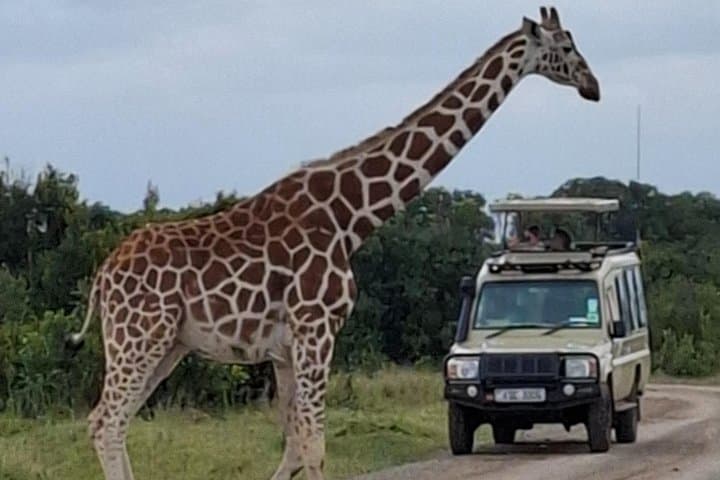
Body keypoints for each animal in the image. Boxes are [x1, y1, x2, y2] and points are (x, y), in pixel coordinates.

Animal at [66, 6, 599, 480]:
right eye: (565, 47)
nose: (592, 86)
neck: (350, 217)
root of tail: (103, 275)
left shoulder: (285, 347)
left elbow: (295, 445)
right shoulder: (316, 328)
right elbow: (315, 445)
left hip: (166, 345)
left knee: (110, 420)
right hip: (139, 337)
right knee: (106, 421)